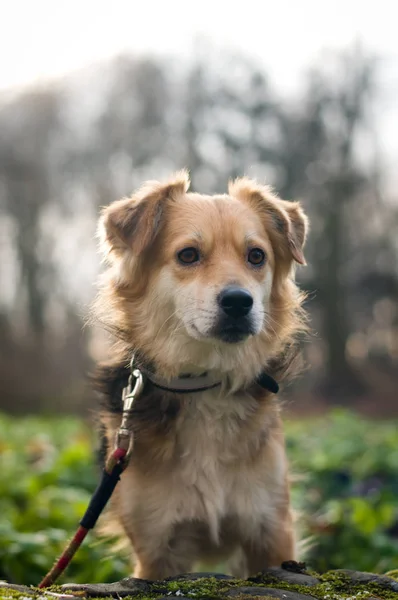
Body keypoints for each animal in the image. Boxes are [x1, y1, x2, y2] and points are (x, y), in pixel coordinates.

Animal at [95, 170, 310, 580]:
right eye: (188, 255)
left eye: (256, 256)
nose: (239, 302)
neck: (204, 382)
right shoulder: (156, 548)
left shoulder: (271, 530)